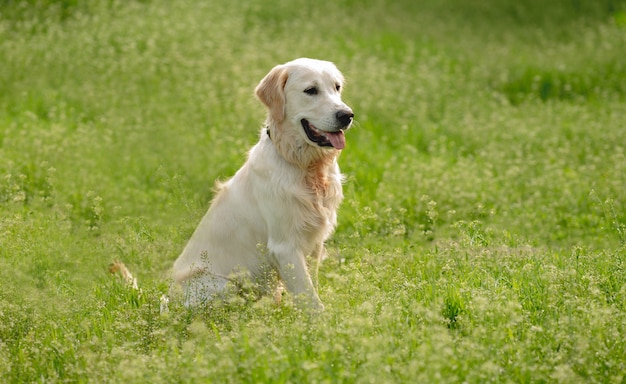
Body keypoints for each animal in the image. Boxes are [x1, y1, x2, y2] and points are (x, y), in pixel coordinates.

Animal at [171, 57, 354, 310]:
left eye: (337, 87)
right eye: (311, 90)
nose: (347, 115)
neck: (306, 167)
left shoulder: (315, 241)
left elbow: (312, 287)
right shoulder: (285, 246)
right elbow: (311, 300)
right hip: (224, 285)